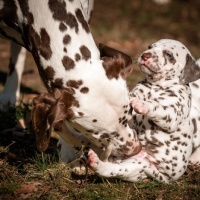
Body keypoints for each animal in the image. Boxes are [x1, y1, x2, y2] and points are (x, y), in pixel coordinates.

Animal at [88, 39, 200, 183]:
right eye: (150, 47)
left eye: (169, 54)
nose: (145, 55)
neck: (155, 86)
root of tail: (163, 177)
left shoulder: (173, 114)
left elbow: (159, 107)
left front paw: (142, 104)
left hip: (138, 166)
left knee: (111, 170)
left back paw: (96, 163)